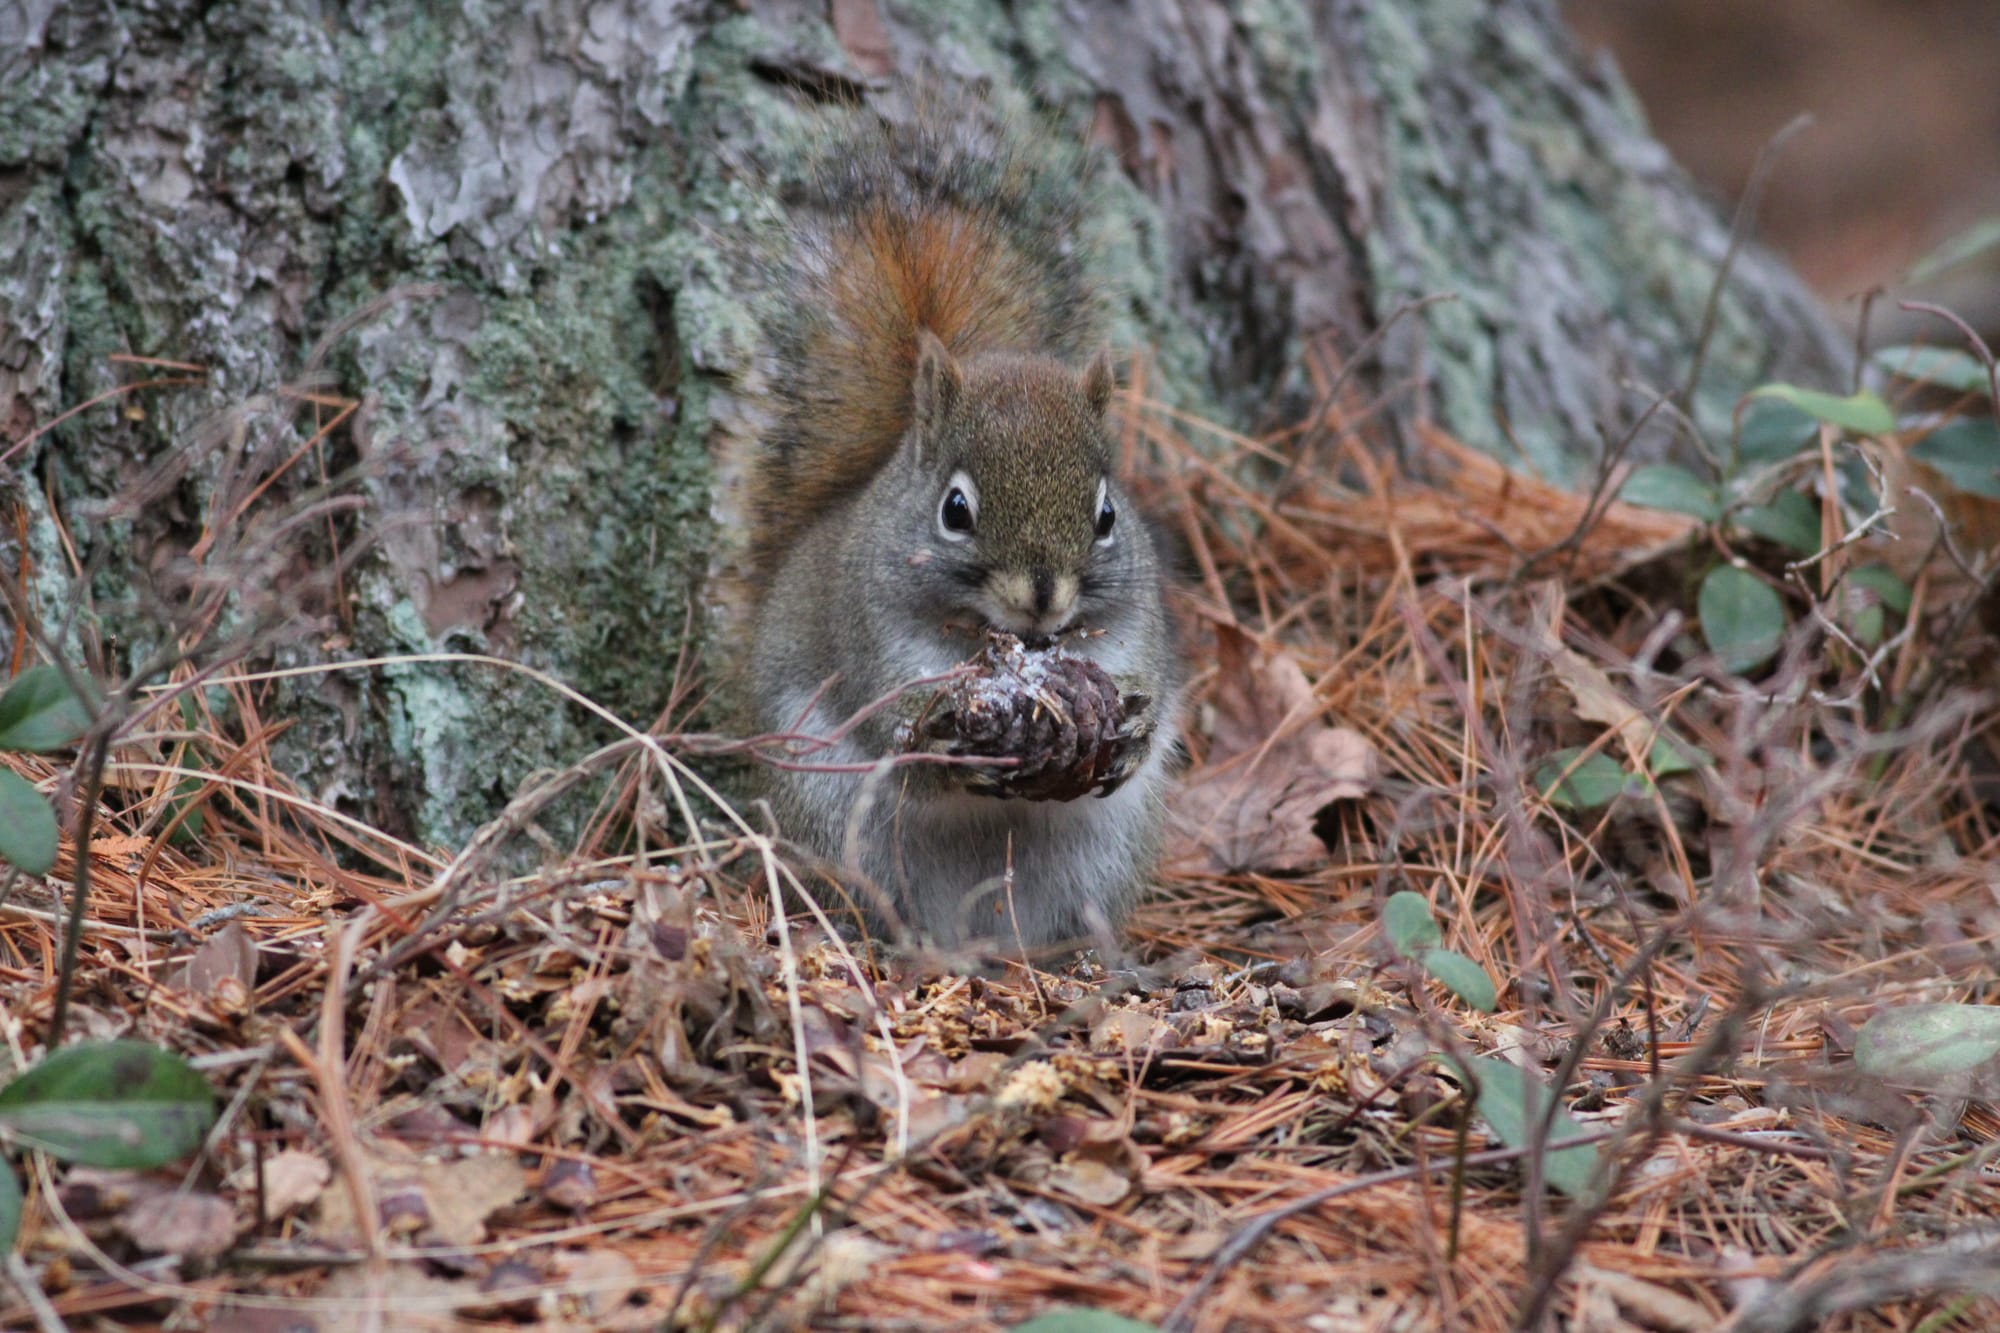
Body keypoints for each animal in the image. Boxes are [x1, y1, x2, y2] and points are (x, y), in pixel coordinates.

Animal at [737, 109, 1182, 951]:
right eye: (955, 510)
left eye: (1107, 515)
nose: (1043, 600)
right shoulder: (870, 637)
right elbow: (894, 733)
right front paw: (947, 748)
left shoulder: (1134, 628)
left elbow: (1153, 686)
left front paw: (1136, 734)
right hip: (840, 820)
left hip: (1101, 854)